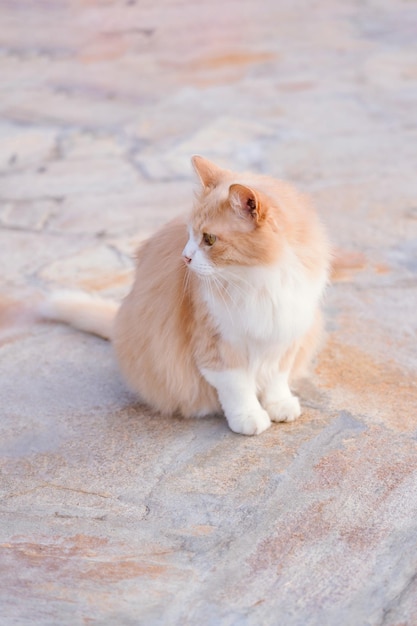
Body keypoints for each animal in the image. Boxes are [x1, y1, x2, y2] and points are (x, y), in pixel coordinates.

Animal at [40, 156, 330, 434]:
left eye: (210, 239)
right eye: (189, 233)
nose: (185, 257)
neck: (259, 281)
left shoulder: (286, 333)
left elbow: (276, 378)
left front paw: (279, 404)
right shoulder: (216, 344)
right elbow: (237, 387)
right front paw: (248, 417)